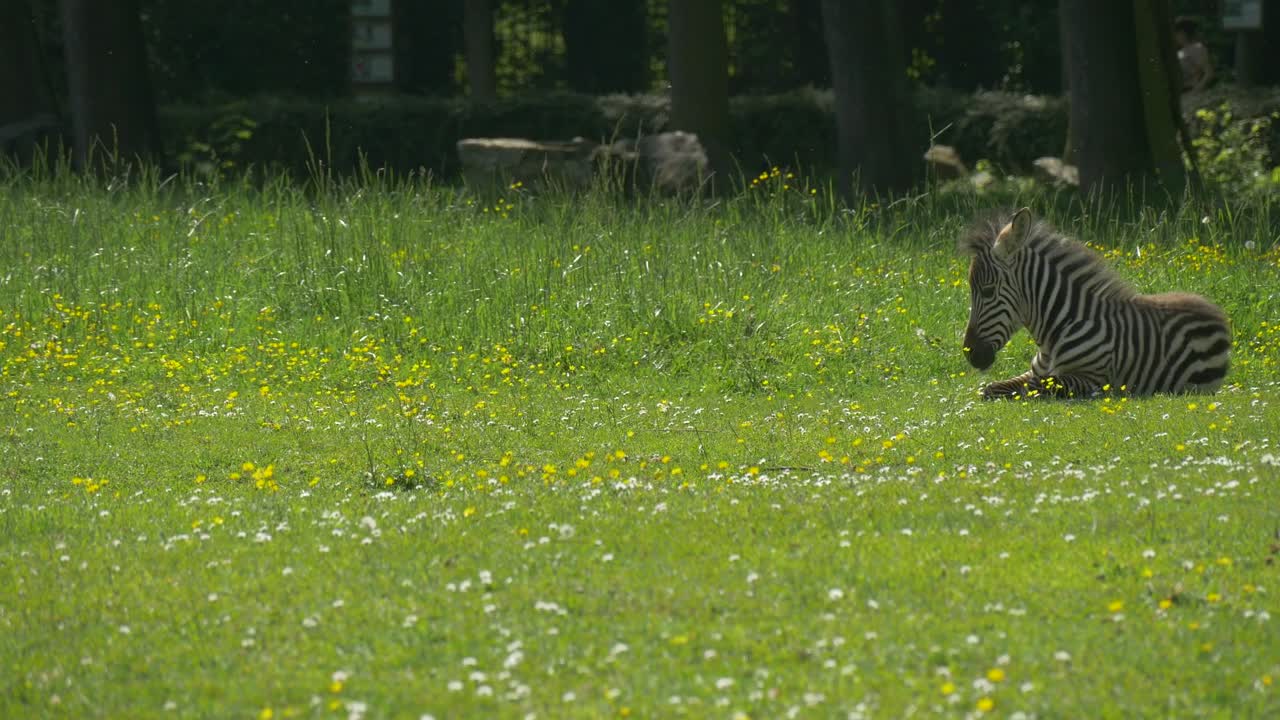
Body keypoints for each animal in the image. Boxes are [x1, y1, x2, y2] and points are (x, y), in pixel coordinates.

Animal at [962, 206, 1228, 397]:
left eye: (988, 291)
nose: (969, 353)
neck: (1059, 327)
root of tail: (1214, 310)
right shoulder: (1035, 371)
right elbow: (990, 388)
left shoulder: (1090, 378)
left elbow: (1035, 388)